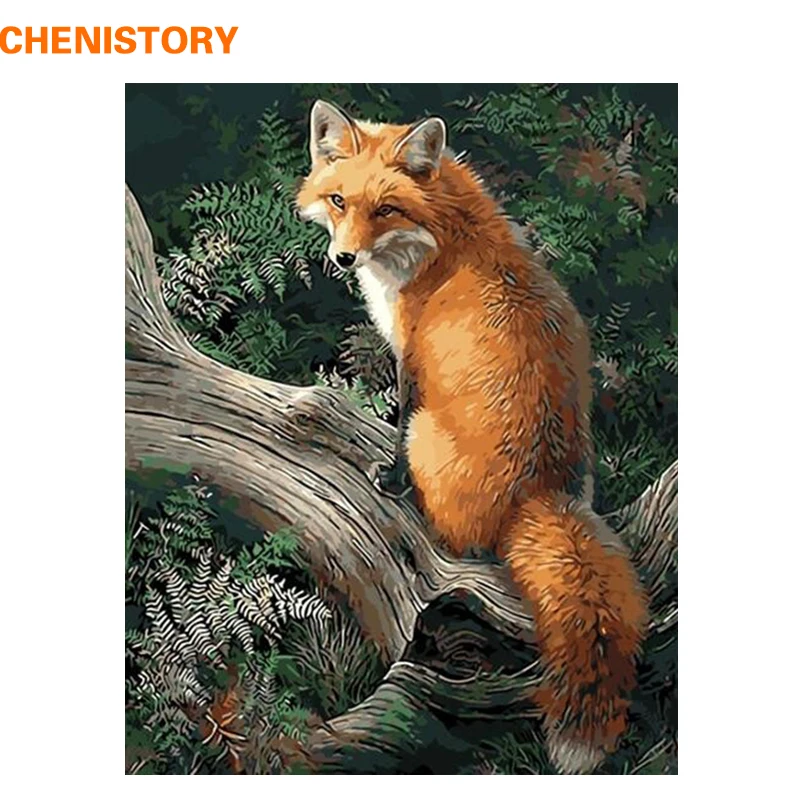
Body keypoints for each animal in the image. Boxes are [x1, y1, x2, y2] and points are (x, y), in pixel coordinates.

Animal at [296, 99, 649, 774]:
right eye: (338, 201)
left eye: (385, 209)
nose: (343, 259)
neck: (445, 235)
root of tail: (539, 495)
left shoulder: (410, 356)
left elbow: (397, 420)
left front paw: (389, 478)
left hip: (430, 437)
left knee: (452, 534)